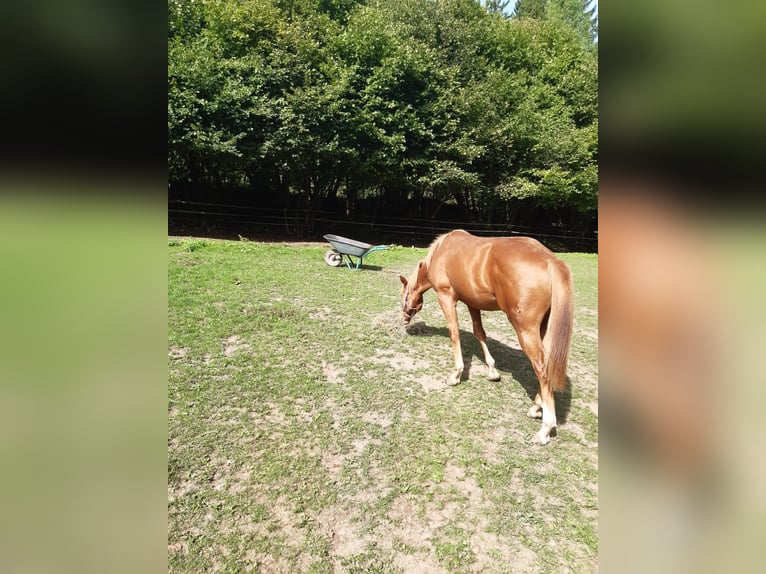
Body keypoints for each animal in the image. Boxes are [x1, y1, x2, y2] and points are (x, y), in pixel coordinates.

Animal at [399, 230, 574, 444]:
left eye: (404, 295)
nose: (405, 319)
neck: (441, 251)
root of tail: (550, 260)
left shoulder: (446, 297)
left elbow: (454, 332)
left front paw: (455, 375)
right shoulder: (472, 302)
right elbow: (479, 332)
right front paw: (492, 371)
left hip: (525, 330)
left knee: (541, 367)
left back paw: (545, 429)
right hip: (543, 329)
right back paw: (536, 407)